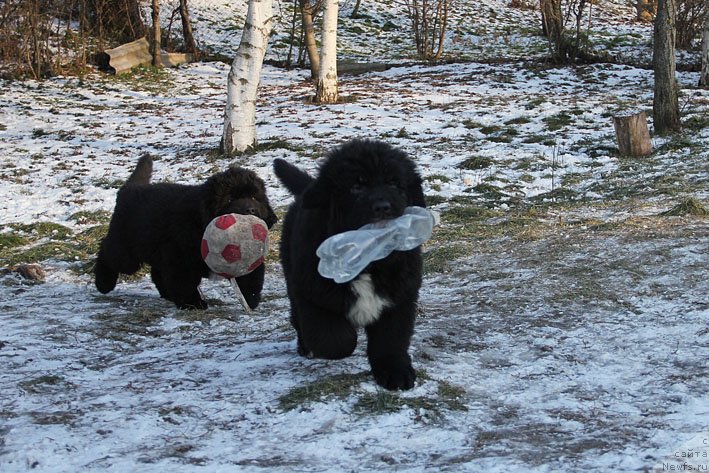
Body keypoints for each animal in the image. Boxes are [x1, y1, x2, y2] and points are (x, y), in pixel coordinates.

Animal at [95, 155, 278, 310]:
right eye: (230, 199)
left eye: (254, 197)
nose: (250, 210)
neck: (200, 222)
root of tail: (130, 188)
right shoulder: (179, 256)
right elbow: (184, 282)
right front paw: (193, 303)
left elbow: (251, 277)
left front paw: (250, 299)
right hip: (126, 252)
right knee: (107, 251)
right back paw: (103, 283)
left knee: (157, 272)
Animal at [274, 138, 424, 390]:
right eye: (357, 187)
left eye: (395, 184)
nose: (383, 207)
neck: (370, 259)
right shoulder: (312, 291)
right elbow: (336, 340)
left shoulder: (401, 294)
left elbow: (391, 339)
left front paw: (395, 372)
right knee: (297, 316)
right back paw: (305, 347)